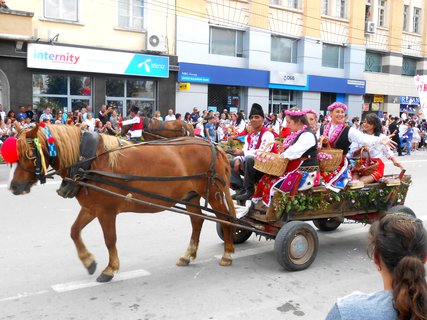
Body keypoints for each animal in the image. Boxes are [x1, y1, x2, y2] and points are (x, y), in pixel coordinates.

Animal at [9, 125, 237, 282]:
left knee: (225, 219)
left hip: (214, 195)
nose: (13, 187)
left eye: (28, 154)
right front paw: (88, 261)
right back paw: (188, 255)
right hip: (191, 196)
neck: (89, 162)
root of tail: (215, 146)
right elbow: (74, 231)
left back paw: (227, 252)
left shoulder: (106, 212)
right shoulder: (90, 208)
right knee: (197, 222)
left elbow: (110, 240)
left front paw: (110, 269)